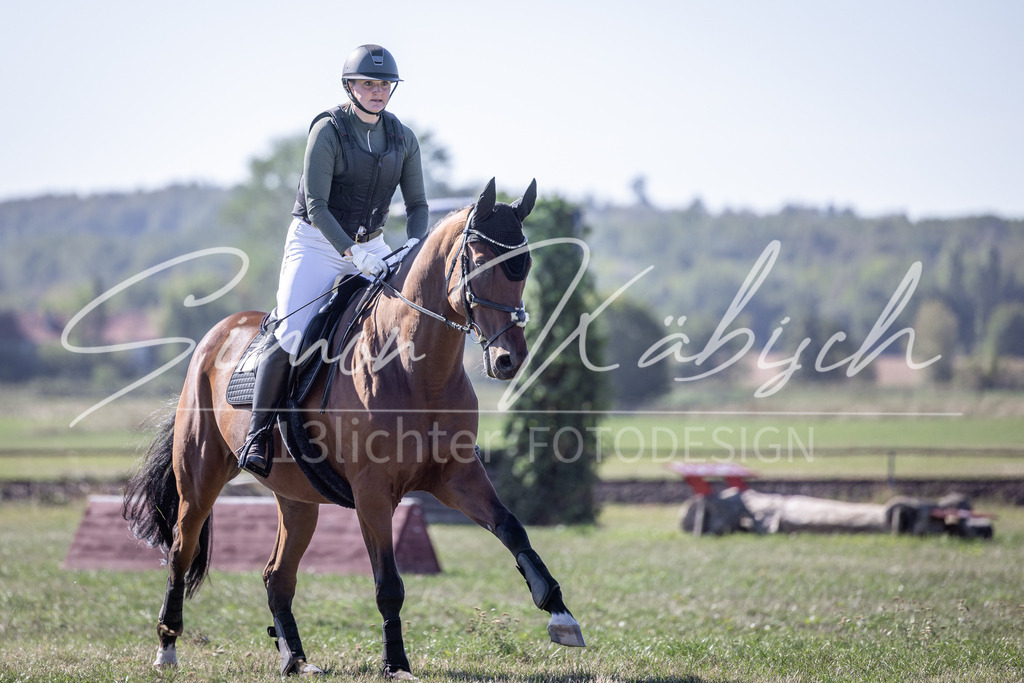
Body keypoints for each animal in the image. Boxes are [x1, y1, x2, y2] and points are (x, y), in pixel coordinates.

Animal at [122, 178, 585, 678]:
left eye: (525, 266)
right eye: (479, 264)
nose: (508, 360)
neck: (415, 369)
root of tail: (215, 336)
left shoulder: (457, 476)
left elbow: (512, 529)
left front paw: (561, 614)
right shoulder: (372, 492)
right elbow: (388, 584)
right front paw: (396, 662)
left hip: (298, 499)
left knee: (276, 575)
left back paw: (295, 659)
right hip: (201, 479)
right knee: (180, 551)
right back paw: (167, 647)